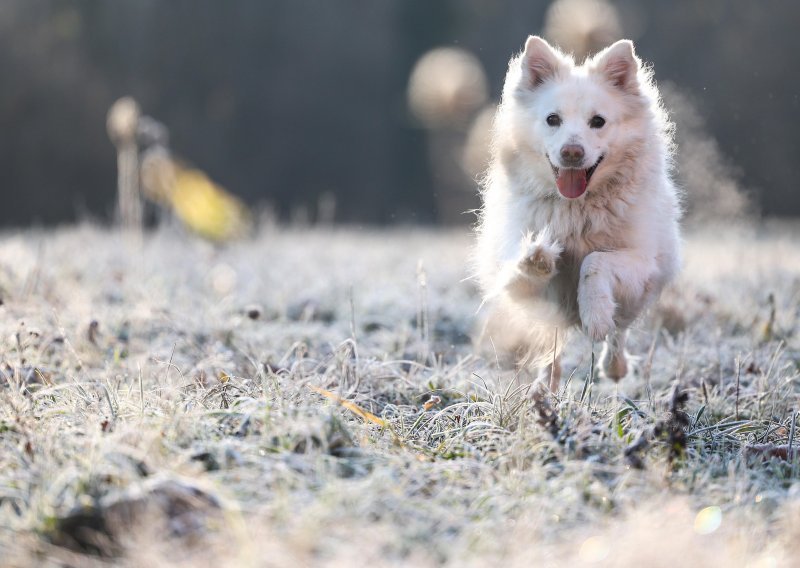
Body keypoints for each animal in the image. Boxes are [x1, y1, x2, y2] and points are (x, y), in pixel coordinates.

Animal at [476, 35, 680, 390]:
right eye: (552, 119)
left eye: (597, 121)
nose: (572, 152)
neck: (577, 207)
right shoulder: (519, 278)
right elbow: (524, 271)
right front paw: (538, 259)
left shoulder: (641, 262)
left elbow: (594, 262)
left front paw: (595, 316)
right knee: (551, 344)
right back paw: (547, 385)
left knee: (620, 330)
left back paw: (614, 365)